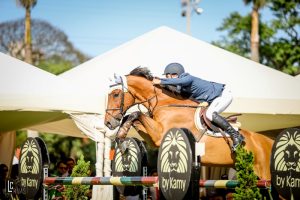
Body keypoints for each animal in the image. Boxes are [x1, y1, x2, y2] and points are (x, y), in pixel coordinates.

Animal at [104, 67, 274, 180]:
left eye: (116, 94)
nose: (108, 123)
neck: (166, 103)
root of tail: (268, 141)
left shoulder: (160, 133)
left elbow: (135, 114)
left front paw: (121, 139)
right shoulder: (154, 139)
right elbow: (132, 117)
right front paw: (121, 139)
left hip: (264, 172)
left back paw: (237, 140)